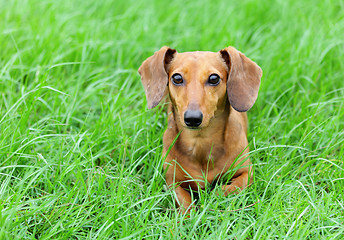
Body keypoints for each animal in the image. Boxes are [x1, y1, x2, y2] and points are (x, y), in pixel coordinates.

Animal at [138, 45, 262, 214]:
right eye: (177, 78)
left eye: (214, 78)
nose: (192, 118)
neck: (200, 141)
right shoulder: (172, 181)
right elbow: (185, 202)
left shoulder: (247, 172)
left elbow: (229, 188)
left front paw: (212, 199)